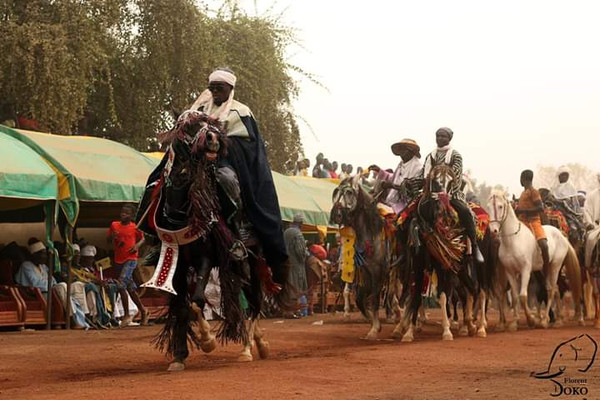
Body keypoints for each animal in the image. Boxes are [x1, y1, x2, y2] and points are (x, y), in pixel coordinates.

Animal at [488, 191, 580, 332]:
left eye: (500, 206)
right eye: (488, 207)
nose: (493, 231)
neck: (513, 240)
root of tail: (561, 235)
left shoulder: (525, 270)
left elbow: (523, 296)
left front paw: (531, 320)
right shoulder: (510, 272)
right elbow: (515, 297)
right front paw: (514, 322)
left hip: (555, 266)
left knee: (551, 289)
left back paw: (546, 320)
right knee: (555, 289)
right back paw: (557, 320)